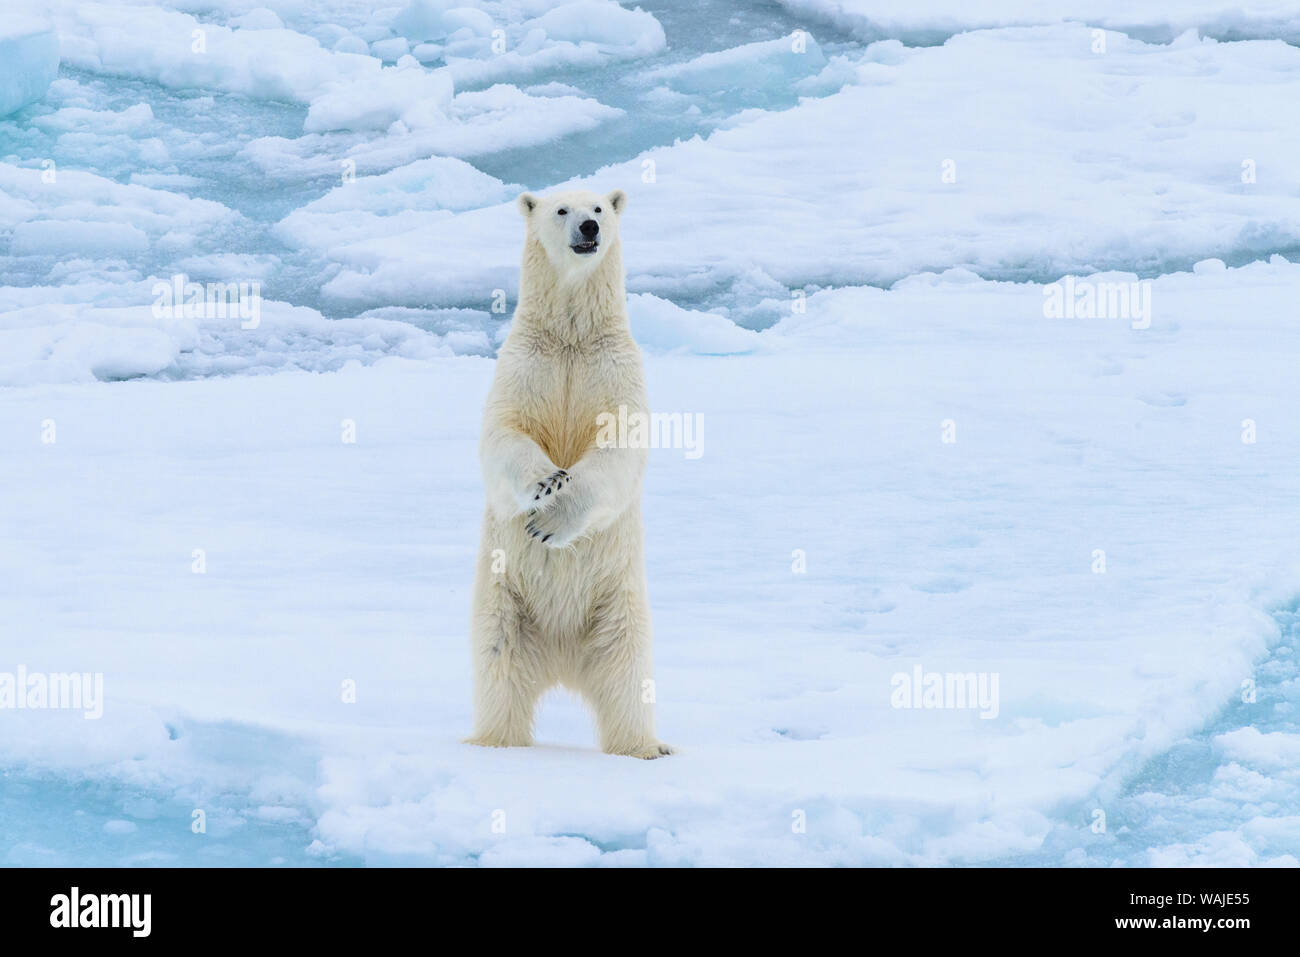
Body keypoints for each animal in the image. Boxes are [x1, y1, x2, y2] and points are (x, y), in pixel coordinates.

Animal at [465, 184, 670, 754]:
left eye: (598, 208)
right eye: (561, 209)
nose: (589, 229)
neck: (571, 339)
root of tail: (560, 660)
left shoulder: (615, 370)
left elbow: (619, 447)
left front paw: (551, 520)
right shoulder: (524, 365)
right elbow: (503, 434)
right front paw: (546, 481)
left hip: (616, 608)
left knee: (629, 680)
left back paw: (647, 747)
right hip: (505, 605)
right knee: (499, 672)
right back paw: (493, 742)